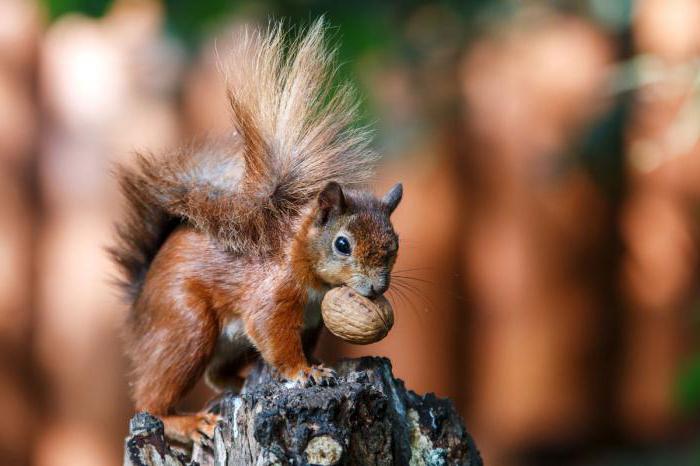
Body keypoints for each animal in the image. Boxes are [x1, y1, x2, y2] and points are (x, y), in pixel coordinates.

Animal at [110, 20, 404, 444]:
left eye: (395, 245)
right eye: (342, 244)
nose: (377, 287)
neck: (302, 259)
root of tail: (138, 303)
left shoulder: (311, 321)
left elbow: (297, 344)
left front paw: (314, 363)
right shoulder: (272, 297)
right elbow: (275, 337)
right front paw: (304, 372)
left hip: (227, 344)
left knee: (217, 376)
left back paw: (240, 383)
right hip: (185, 325)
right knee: (152, 399)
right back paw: (186, 422)